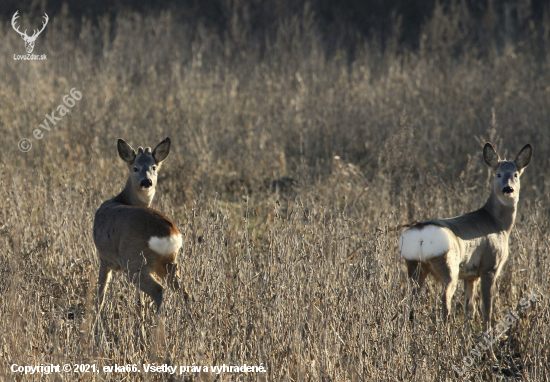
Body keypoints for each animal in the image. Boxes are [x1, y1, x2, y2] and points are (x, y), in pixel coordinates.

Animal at [92, 139, 183, 312]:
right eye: (136, 168)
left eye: (154, 167)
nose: (146, 181)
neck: (123, 199)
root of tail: (169, 233)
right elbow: (138, 300)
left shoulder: (104, 258)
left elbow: (100, 293)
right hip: (169, 262)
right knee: (185, 292)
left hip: (133, 261)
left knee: (159, 291)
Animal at [402, 143, 536, 328]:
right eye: (498, 174)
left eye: (516, 174)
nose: (508, 189)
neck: (497, 223)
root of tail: (421, 237)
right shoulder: (489, 266)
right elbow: (486, 307)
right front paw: (488, 330)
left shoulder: (470, 275)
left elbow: (469, 309)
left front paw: (468, 329)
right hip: (449, 265)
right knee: (445, 298)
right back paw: (445, 329)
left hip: (415, 265)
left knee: (410, 299)